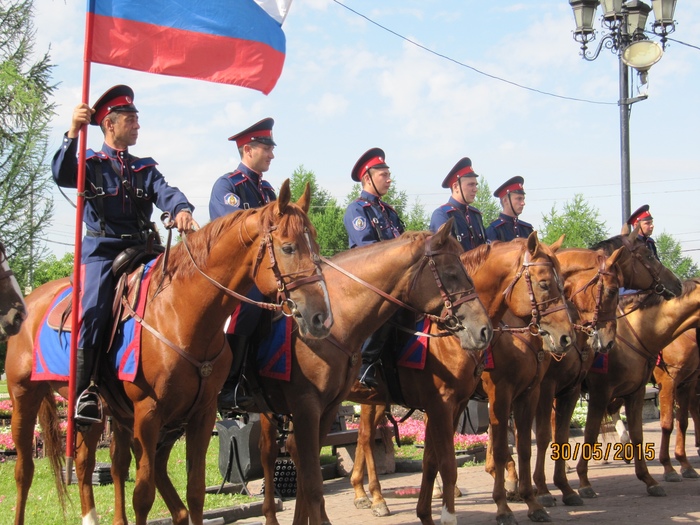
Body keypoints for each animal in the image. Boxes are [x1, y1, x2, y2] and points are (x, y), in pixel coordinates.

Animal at [5, 181, 334, 524]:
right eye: (288, 248)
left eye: (315, 243)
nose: (321, 318)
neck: (182, 312)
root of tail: (30, 300)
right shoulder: (148, 414)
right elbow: (143, 495)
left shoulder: (200, 414)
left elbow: (195, 490)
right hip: (24, 397)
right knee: (25, 470)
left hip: (112, 415)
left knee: (95, 464)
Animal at [256, 222, 492, 524]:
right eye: (451, 273)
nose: (484, 330)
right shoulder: (441, 404)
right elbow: (447, 463)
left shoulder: (455, 405)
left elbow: (432, 459)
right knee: (271, 452)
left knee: (351, 442)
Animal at [346, 233, 580, 524]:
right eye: (545, 283)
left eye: (563, 284)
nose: (566, 337)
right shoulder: (490, 396)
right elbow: (489, 452)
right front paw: (503, 507)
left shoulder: (519, 394)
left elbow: (520, 448)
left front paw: (532, 502)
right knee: (366, 439)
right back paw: (375, 498)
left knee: (363, 438)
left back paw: (365, 494)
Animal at [532, 230, 680, 508]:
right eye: (648, 255)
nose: (676, 284)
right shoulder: (552, 388)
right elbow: (551, 434)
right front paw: (548, 489)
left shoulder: (575, 389)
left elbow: (566, 434)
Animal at [576, 276, 700, 498]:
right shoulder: (666, 383)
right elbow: (667, 424)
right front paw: (669, 468)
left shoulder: (682, 385)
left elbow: (678, 424)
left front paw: (681, 466)